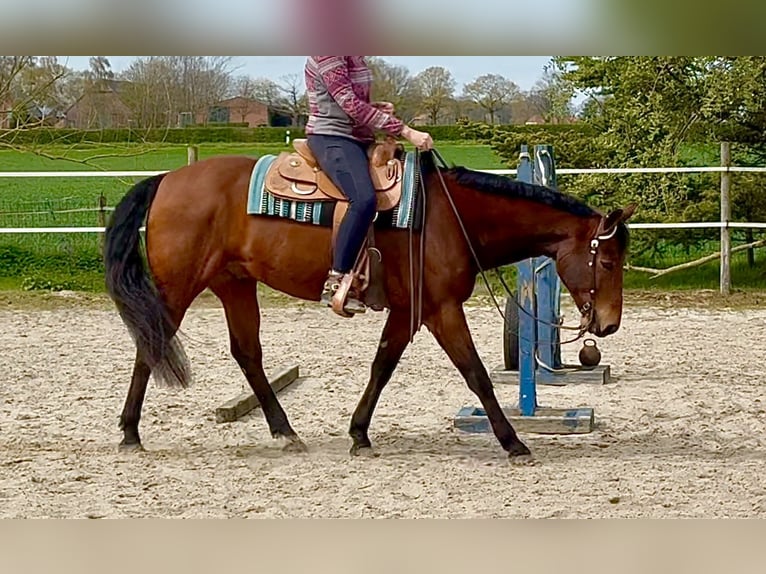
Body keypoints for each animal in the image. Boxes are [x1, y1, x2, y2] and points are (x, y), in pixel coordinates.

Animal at [103, 149, 635, 461]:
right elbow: (476, 373)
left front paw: (359, 433)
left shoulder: (409, 311)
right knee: (150, 345)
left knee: (247, 353)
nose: (609, 325)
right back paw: (129, 432)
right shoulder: (441, 309)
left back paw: (284, 431)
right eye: (608, 261)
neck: (450, 216)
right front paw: (513, 442)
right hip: (179, 288)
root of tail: (167, 178)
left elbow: (382, 365)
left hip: (235, 284)